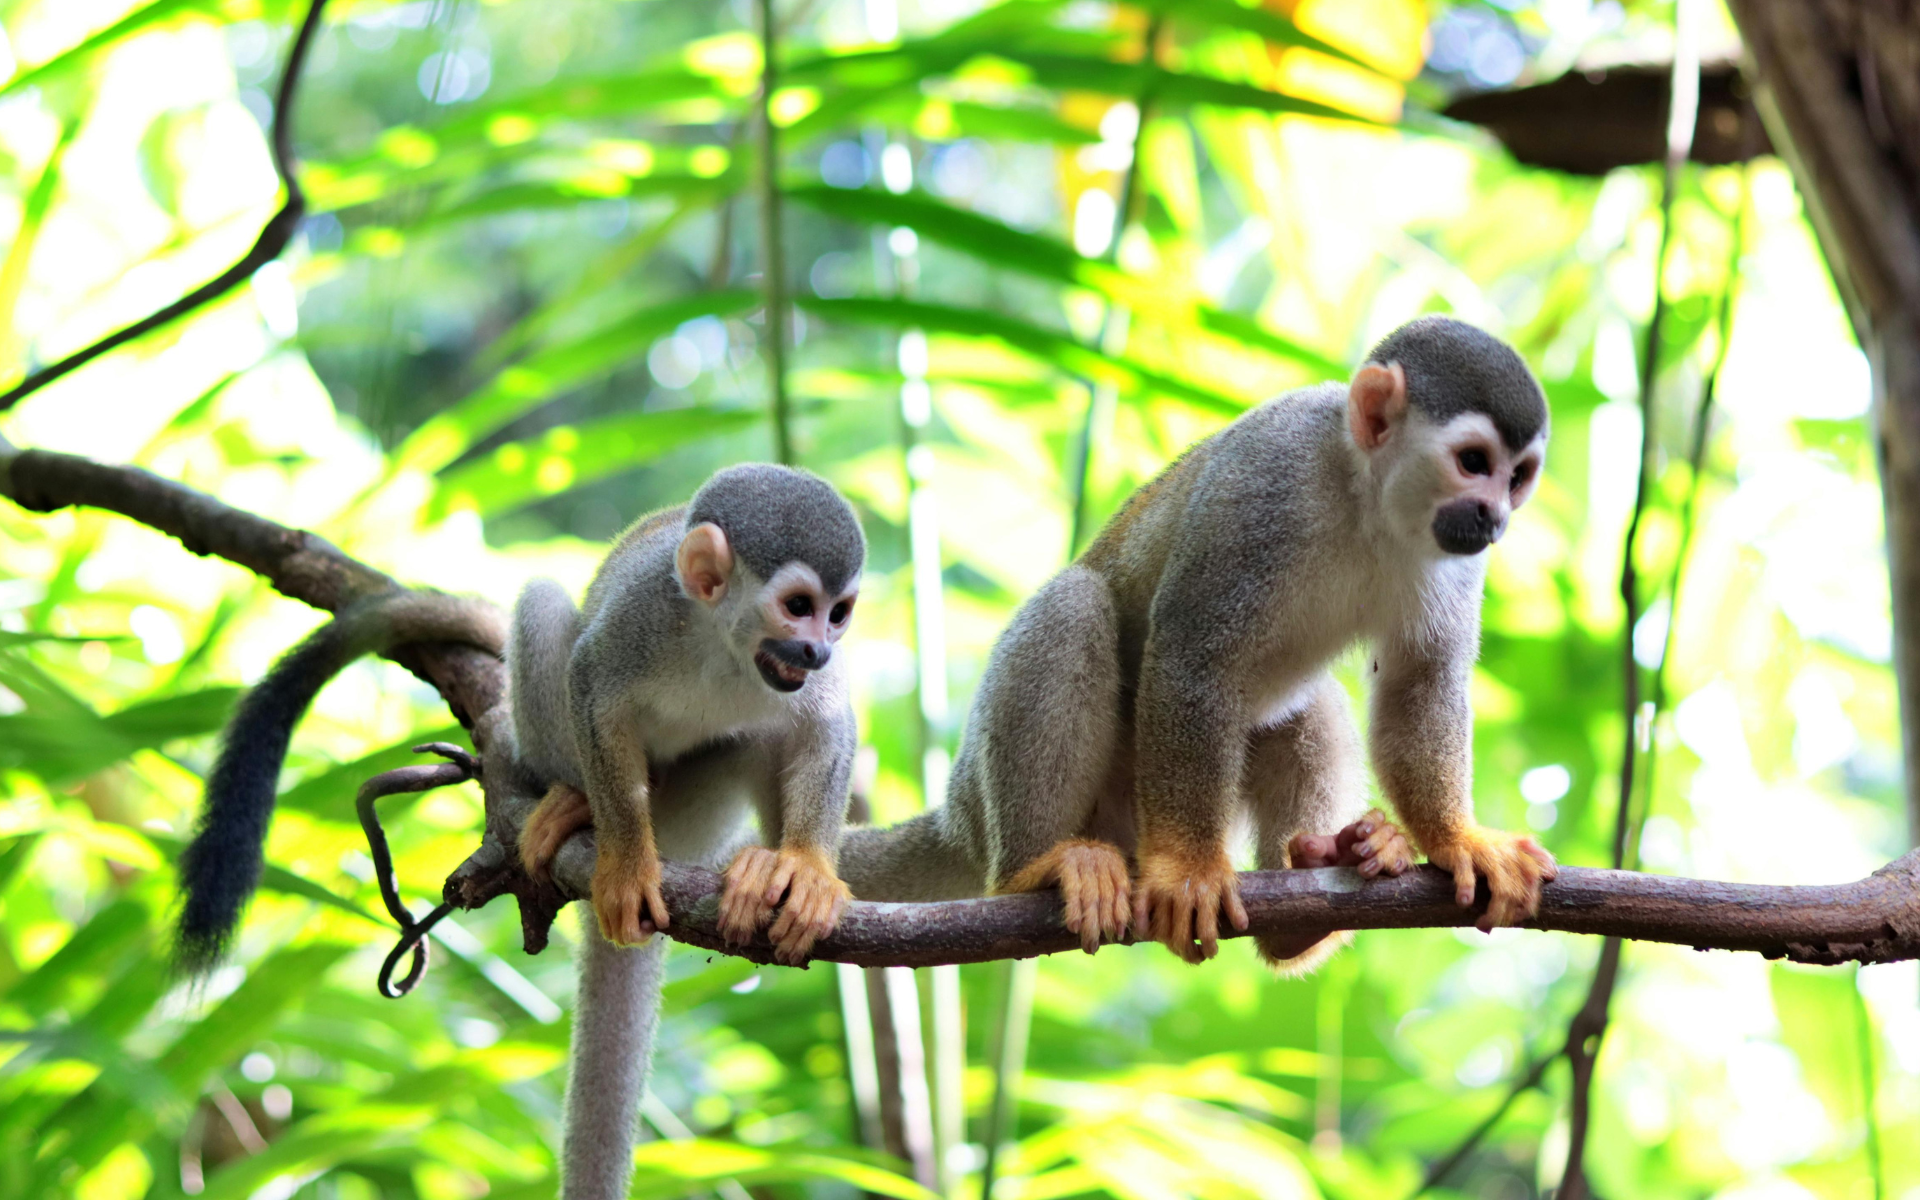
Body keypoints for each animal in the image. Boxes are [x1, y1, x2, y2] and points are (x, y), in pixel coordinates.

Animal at [837, 315, 1558, 967]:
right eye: (1473, 463)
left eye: (1518, 476)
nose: (1494, 517)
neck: (1367, 500)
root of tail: (958, 816)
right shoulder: (1264, 482)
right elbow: (1194, 658)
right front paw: (1187, 870)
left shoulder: (1455, 560)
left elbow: (1419, 684)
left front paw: (1458, 840)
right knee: (1075, 608)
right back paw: (1033, 871)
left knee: (1307, 705)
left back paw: (1310, 898)